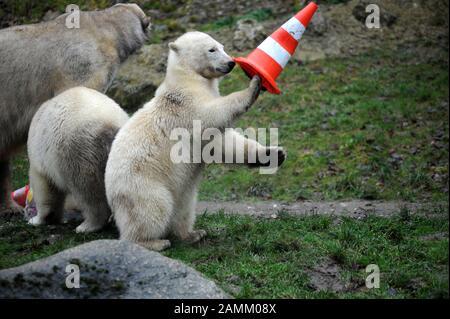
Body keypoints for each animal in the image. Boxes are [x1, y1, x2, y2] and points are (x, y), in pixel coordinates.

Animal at [27, 87, 129, 232]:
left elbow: (46, 189)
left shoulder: (41, 159)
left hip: (78, 151)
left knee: (87, 191)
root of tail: (110, 126)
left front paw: (37, 219)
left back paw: (86, 226)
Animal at [105, 32, 286, 252]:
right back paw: (154, 241)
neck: (187, 81)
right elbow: (213, 115)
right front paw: (254, 85)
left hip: (175, 191)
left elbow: (223, 144)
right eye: (212, 49)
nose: (231, 63)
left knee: (184, 207)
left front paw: (274, 155)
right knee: (152, 209)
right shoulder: (186, 108)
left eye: (222, 46)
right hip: (140, 184)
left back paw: (192, 234)